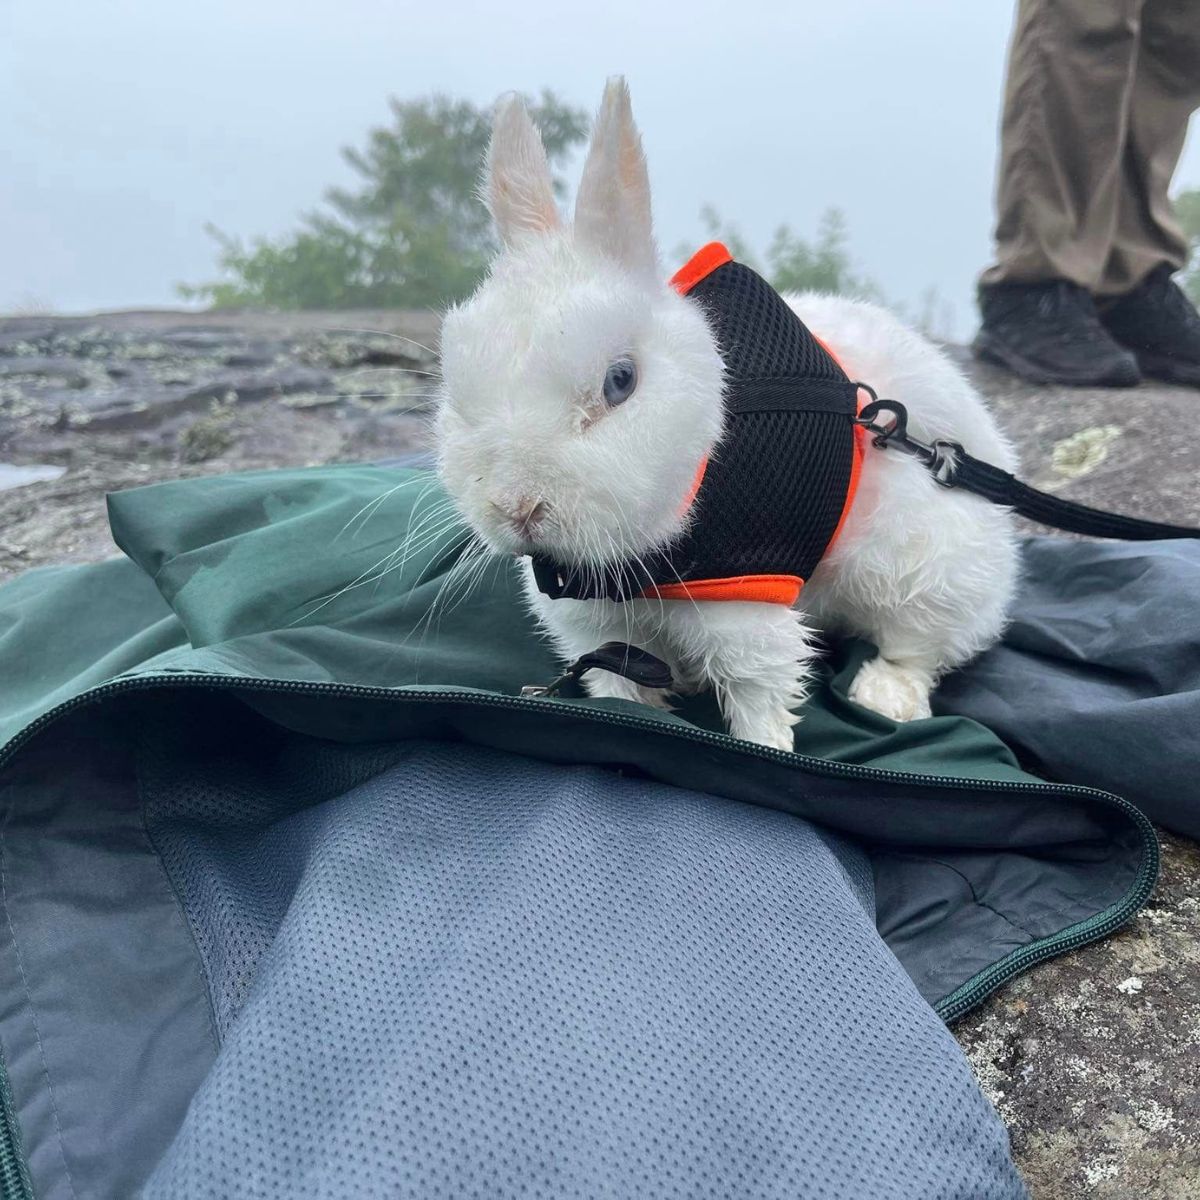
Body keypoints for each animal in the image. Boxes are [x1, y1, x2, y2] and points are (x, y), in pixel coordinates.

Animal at [436, 77, 1017, 748]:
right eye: (457, 391)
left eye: (620, 382)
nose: (517, 507)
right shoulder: (595, 622)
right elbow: (612, 679)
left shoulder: (745, 612)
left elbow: (758, 692)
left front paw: (767, 746)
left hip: (925, 578)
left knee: (919, 649)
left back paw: (884, 697)